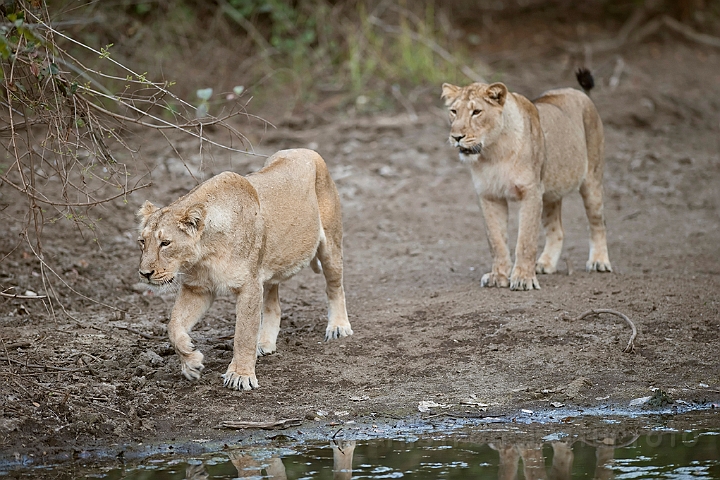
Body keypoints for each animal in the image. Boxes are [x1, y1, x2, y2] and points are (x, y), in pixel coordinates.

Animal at [442, 69, 612, 290]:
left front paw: (523, 278)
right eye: (454, 111)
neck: (493, 153)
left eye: (476, 112)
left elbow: (526, 240)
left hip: (592, 181)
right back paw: (545, 264)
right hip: (549, 194)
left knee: (597, 223)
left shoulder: (530, 193)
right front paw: (499, 276)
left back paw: (599, 261)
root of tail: (579, 93)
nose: (456, 137)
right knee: (557, 230)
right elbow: (496, 241)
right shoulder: (489, 196)